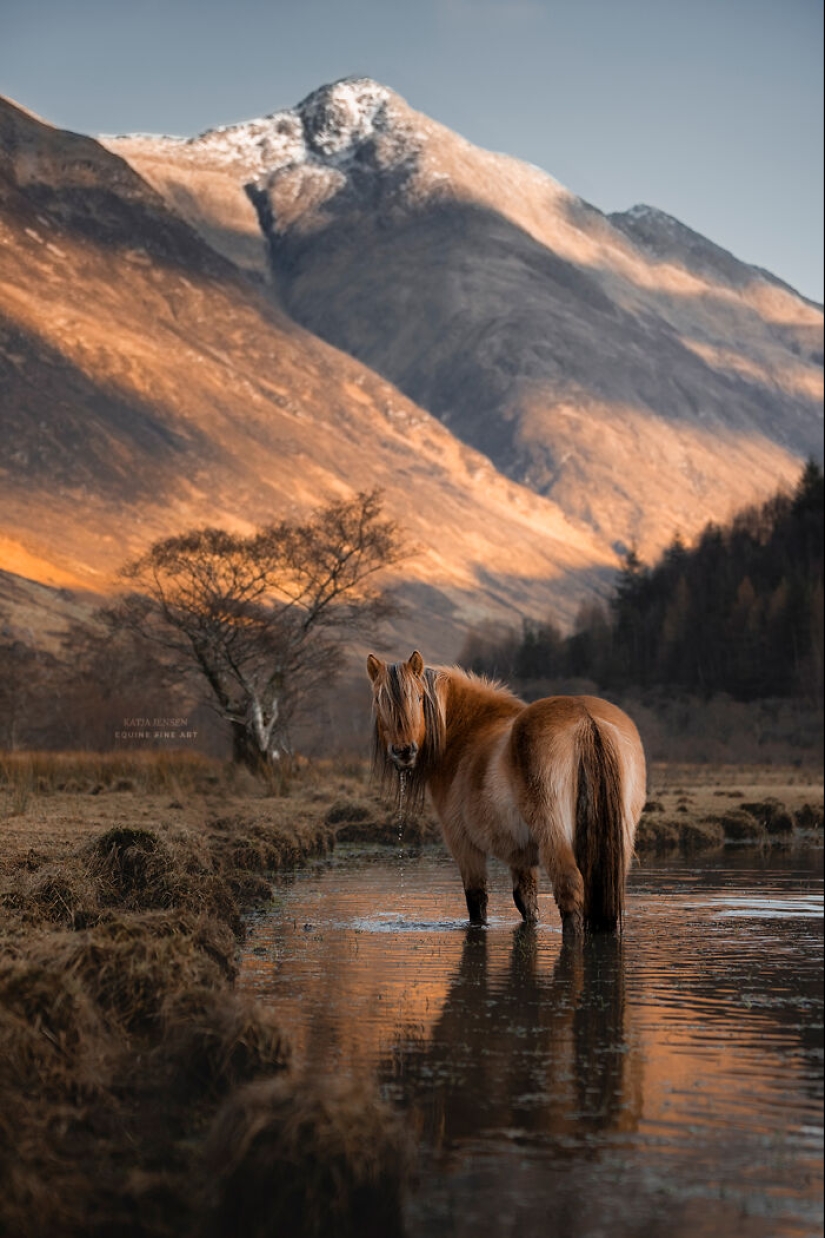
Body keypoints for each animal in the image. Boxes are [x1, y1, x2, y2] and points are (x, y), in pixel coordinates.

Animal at [367, 650, 646, 938]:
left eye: (420, 697)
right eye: (379, 701)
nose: (403, 751)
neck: (466, 733)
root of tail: (586, 719)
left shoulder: (464, 847)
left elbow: (477, 902)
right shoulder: (521, 857)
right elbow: (526, 902)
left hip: (554, 837)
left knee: (569, 891)